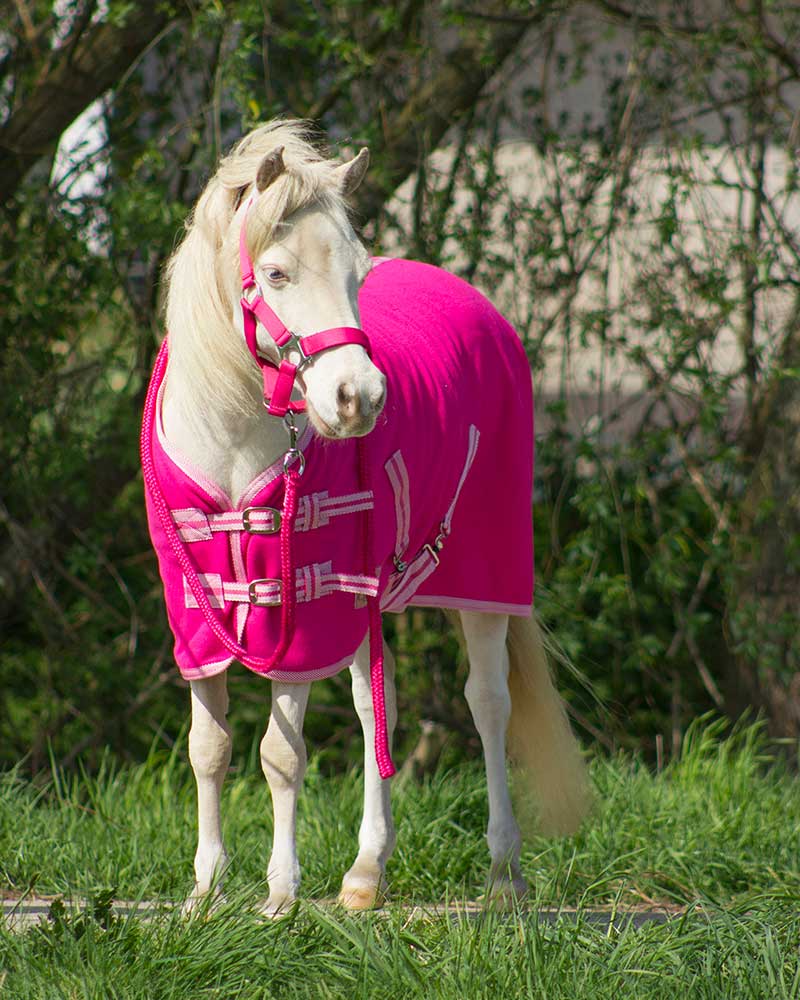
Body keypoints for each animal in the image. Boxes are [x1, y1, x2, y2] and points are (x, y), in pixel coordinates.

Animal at [141, 120, 591, 916]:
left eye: (358, 273)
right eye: (277, 274)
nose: (360, 398)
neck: (231, 439)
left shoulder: (300, 611)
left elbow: (279, 754)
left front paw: (279, 895)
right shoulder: (198, 617)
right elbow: (210, 748)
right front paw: (205, 889)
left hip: (484, 578)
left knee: (489, 704)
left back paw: (504, 873)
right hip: (365, 593)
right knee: (371, 706)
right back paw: (366, 873)